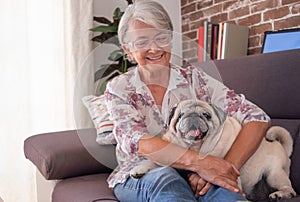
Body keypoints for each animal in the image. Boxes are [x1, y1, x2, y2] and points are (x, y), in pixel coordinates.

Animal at [130, 100, 296, 201]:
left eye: (206, 115)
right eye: (180, 116)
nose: (193, 116)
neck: (193, 148)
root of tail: (282, 147)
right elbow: (152, 163)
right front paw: (139, 169)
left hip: (274, 175)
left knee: (289, 188)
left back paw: (280, 194)